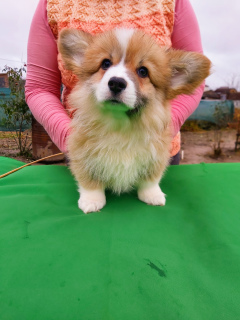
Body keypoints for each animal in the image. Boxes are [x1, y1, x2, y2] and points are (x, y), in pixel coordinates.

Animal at [57, 27, 210, 212]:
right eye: (105, 64)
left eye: (143, 71)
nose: (116, 83)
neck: (120, 124)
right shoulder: (81, 152)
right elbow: (89, 180)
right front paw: (92, 200)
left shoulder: (156, 155)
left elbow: (151, 180)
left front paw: (152, 195)